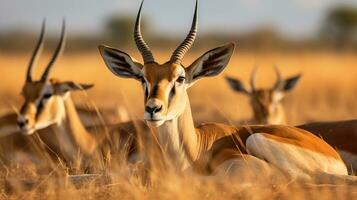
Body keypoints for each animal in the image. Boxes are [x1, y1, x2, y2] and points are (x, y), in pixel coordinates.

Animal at [98, 0, 356, 184]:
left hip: (258, 139)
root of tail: (328, 150)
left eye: (180, 78)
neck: (195, 150)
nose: (153, 109)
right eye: (143, 78)